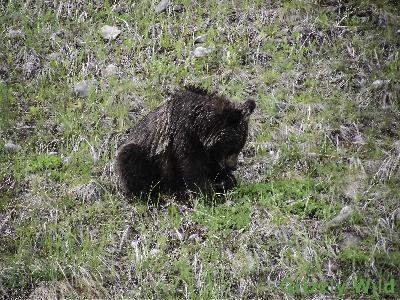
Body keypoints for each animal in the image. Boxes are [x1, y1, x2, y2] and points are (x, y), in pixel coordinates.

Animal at [114, 86, 255, 197]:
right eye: (233, 147)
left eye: (240, 146)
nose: (233, 166)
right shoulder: (183, 134)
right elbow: (191, 165)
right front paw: (207, 192)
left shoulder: (206, 149)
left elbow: (211, 165)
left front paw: (226, 179)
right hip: (144, 154)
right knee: (129, 159)